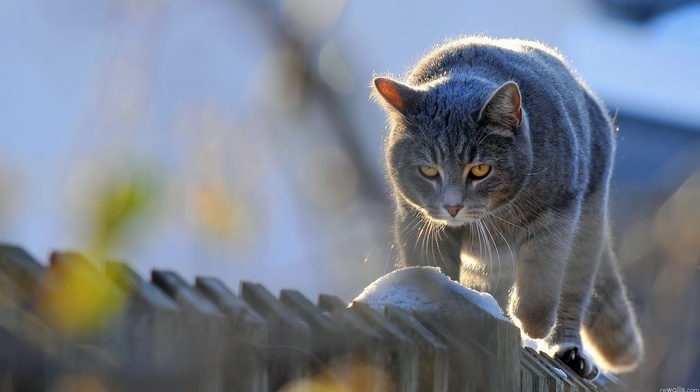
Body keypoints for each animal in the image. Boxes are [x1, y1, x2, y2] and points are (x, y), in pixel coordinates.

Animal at [374, 37, 644, 380]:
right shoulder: (419, 223)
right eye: (429, 171)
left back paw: (568, 351)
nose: (452, 206)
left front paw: (533, 323)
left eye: (480, 170)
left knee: (572, 295)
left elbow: (541, 277)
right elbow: (435, 268)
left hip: (587, 230)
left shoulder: (557, 214)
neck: (495, 216)